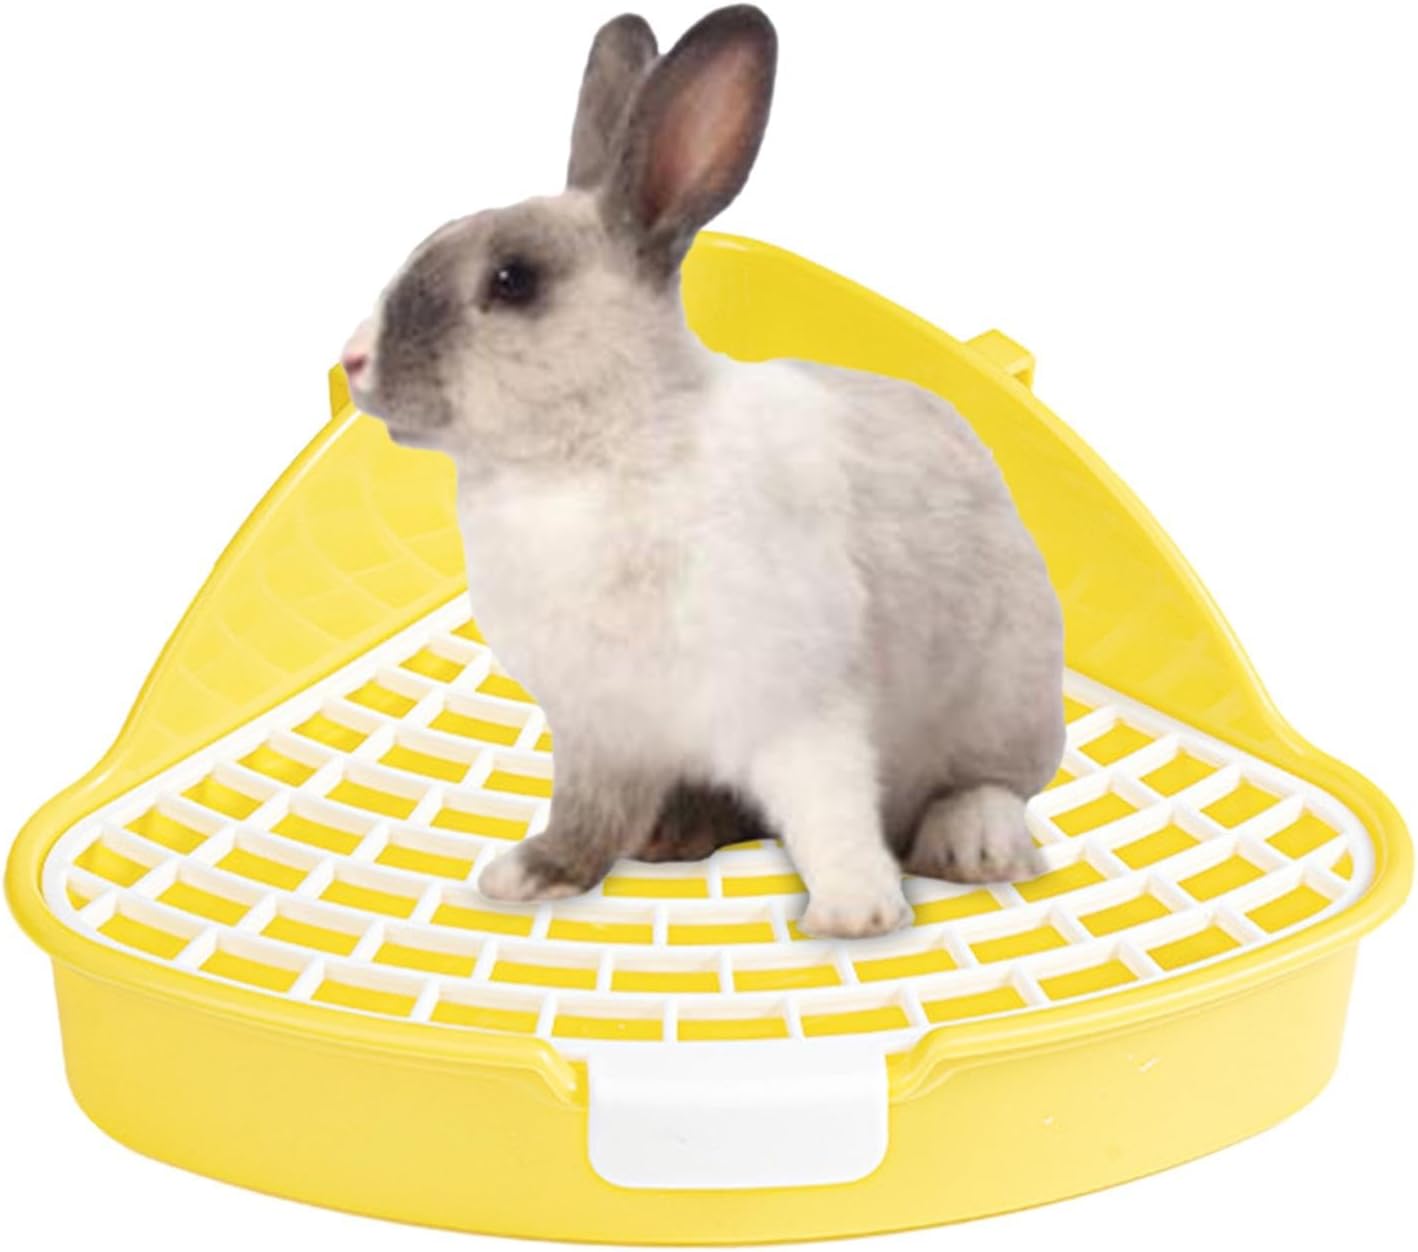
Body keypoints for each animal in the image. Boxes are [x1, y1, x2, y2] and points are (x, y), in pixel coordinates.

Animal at [341, 4, 1064, 938]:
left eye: (512, 281)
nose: (353, 360)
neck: (589, 458)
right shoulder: (598, 727)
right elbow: (584, 813)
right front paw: (530, 875)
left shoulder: (801, 706)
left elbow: (827, 808)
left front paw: (856, 915)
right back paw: (673, 833)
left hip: (1004, 697)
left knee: (989, 785)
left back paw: (973, 845)